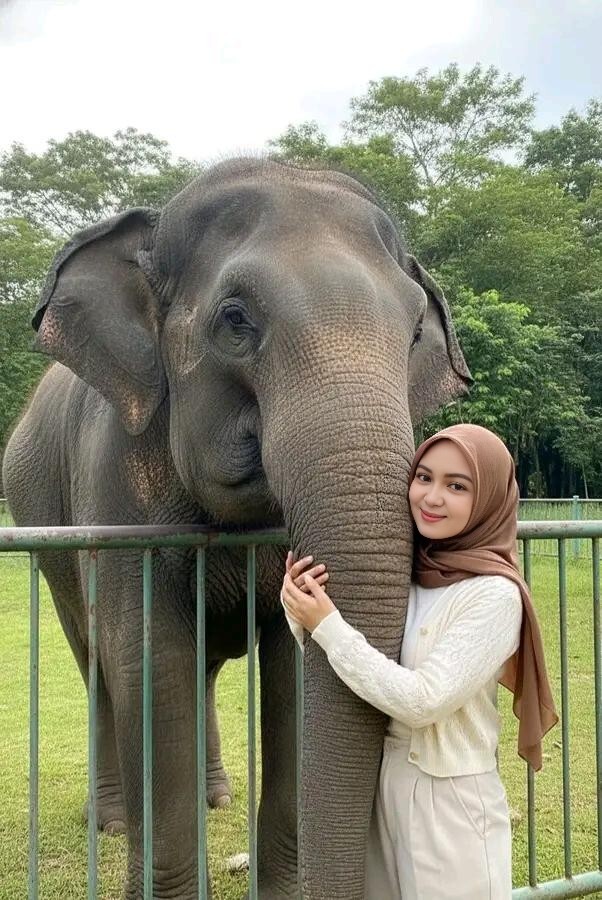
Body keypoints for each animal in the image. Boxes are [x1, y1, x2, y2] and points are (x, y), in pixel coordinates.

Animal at [2, 157, 471, 899]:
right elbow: (149, 660)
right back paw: (112, 821)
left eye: (414, 335)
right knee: (97, 661)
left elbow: (294, 666)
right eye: (235, 320)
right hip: (45, 528)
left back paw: (216, 797)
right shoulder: (113, 483)